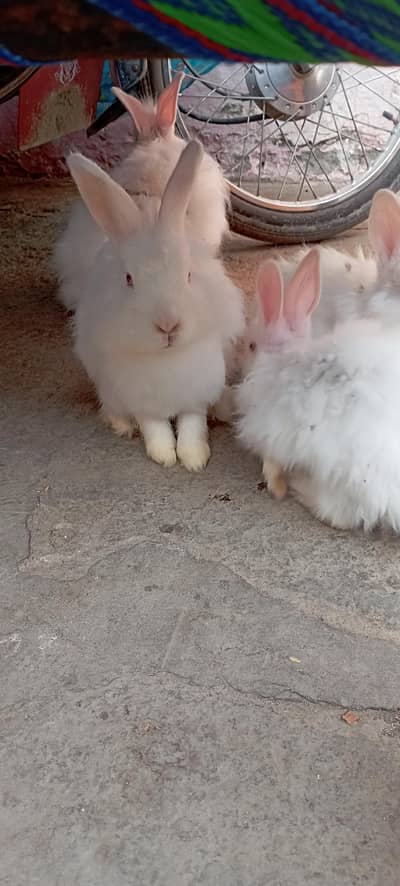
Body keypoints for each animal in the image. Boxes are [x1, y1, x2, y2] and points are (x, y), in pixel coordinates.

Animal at [67, 140, 244, 472]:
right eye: (128, 279)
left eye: (188, 274)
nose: (168, 325)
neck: (167, 358)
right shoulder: (142, 402)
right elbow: (155, 427)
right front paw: (164, 455)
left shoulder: (196, 396)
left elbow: (192, 424)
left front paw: (194, 458)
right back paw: (121, 425)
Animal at [236, 248, 400, 532]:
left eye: (251, 346)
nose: (240, 362)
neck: (288, 355)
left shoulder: (271, 434)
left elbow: (272, 462)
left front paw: (276, 486)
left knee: (339, 514)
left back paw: (299, 487)